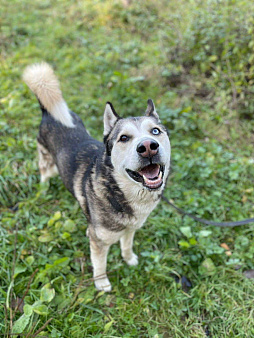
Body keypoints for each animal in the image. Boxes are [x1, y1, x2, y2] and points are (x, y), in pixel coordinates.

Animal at [23, 62, 171, 290]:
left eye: (155, 131)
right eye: (124, 138)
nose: (148, 147)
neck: (120, 192)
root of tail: (48, 112)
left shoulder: (131, 229)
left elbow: (126, 246)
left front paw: (129, 260)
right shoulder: (98, 241)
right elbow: (100, 264)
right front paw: (102, 284)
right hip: (48, 164)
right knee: (44, 174)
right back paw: (43, 190)